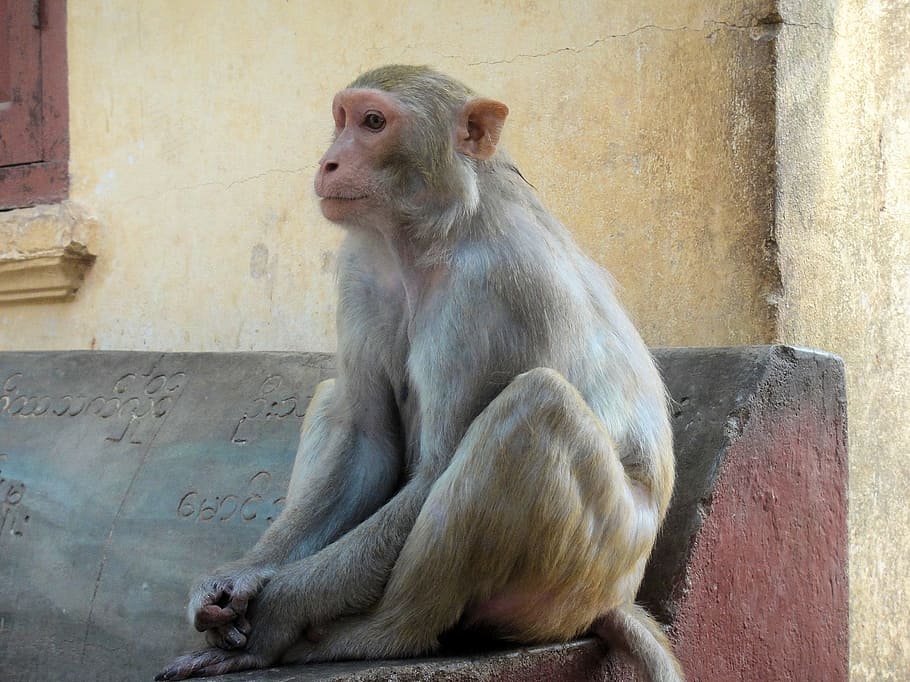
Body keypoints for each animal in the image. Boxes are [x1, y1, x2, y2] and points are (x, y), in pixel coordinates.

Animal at [157, 65, 682, 682]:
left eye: (373, 122)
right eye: (342, 118)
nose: (328, 162)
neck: (427, 237)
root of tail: (614, 598)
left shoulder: (495, 287)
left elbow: (435, 470)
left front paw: (274, 617)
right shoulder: (359, 269)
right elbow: (369, 446)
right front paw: (237, 579)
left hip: (587, 570)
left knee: (535, 406)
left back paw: (381, 633)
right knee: (339, 396)